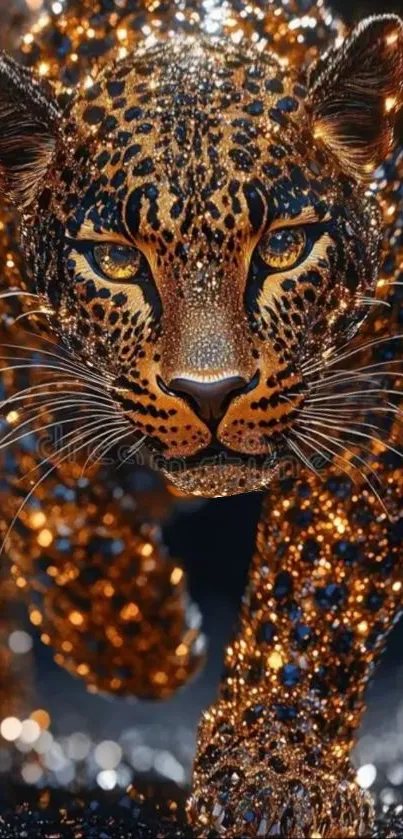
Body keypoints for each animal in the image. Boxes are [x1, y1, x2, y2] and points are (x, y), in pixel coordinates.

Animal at [0, 0, 403, 837]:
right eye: (115, 261)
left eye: (283, 247)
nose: (210, 393)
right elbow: (52, 492)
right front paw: (145, 639)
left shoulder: (374, 406)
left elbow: (314, 599)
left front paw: (273, 775)